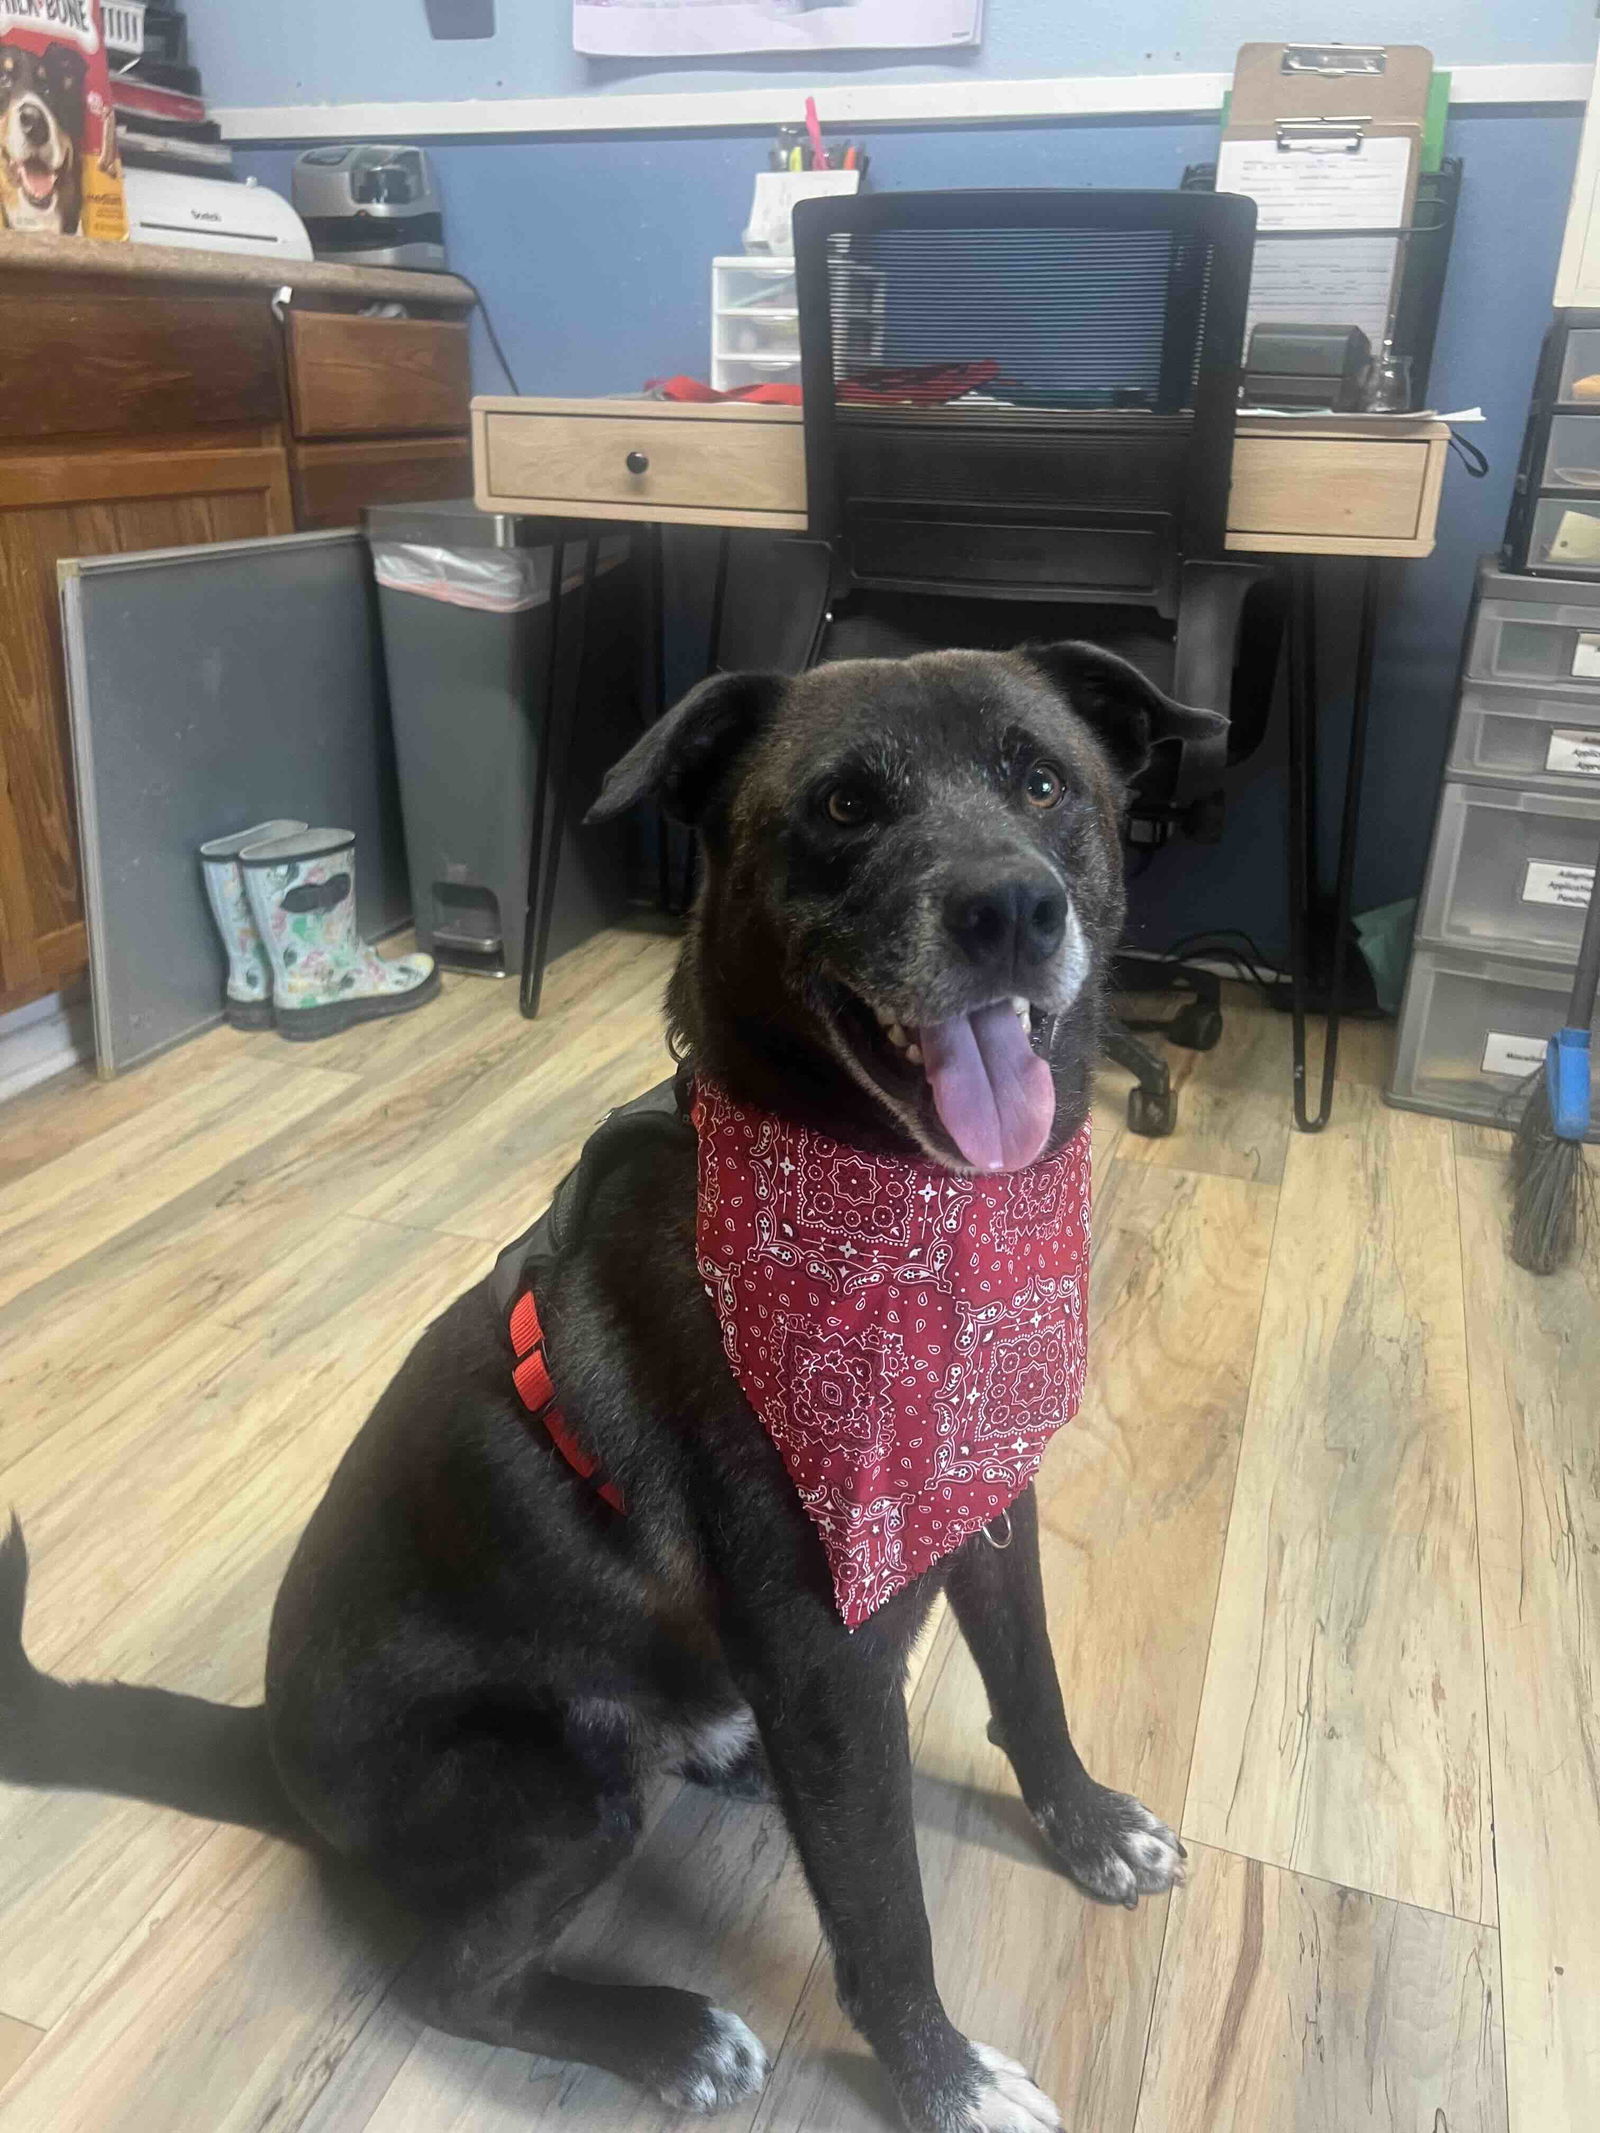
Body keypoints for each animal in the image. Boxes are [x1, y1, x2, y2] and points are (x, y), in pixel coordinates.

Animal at [6, 639, 1220, 2133]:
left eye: (1041, 780)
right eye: (843, 806)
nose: (1008, 910)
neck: (893, 1209)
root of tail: (272, 1756)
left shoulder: (985, 1501)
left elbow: (1031, 1683)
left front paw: (1090, 1825)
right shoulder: (825, 1661)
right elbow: (882, 1912)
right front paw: (941, 2078)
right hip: (558, 1789)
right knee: (449, 1980)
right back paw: (671, 2035)